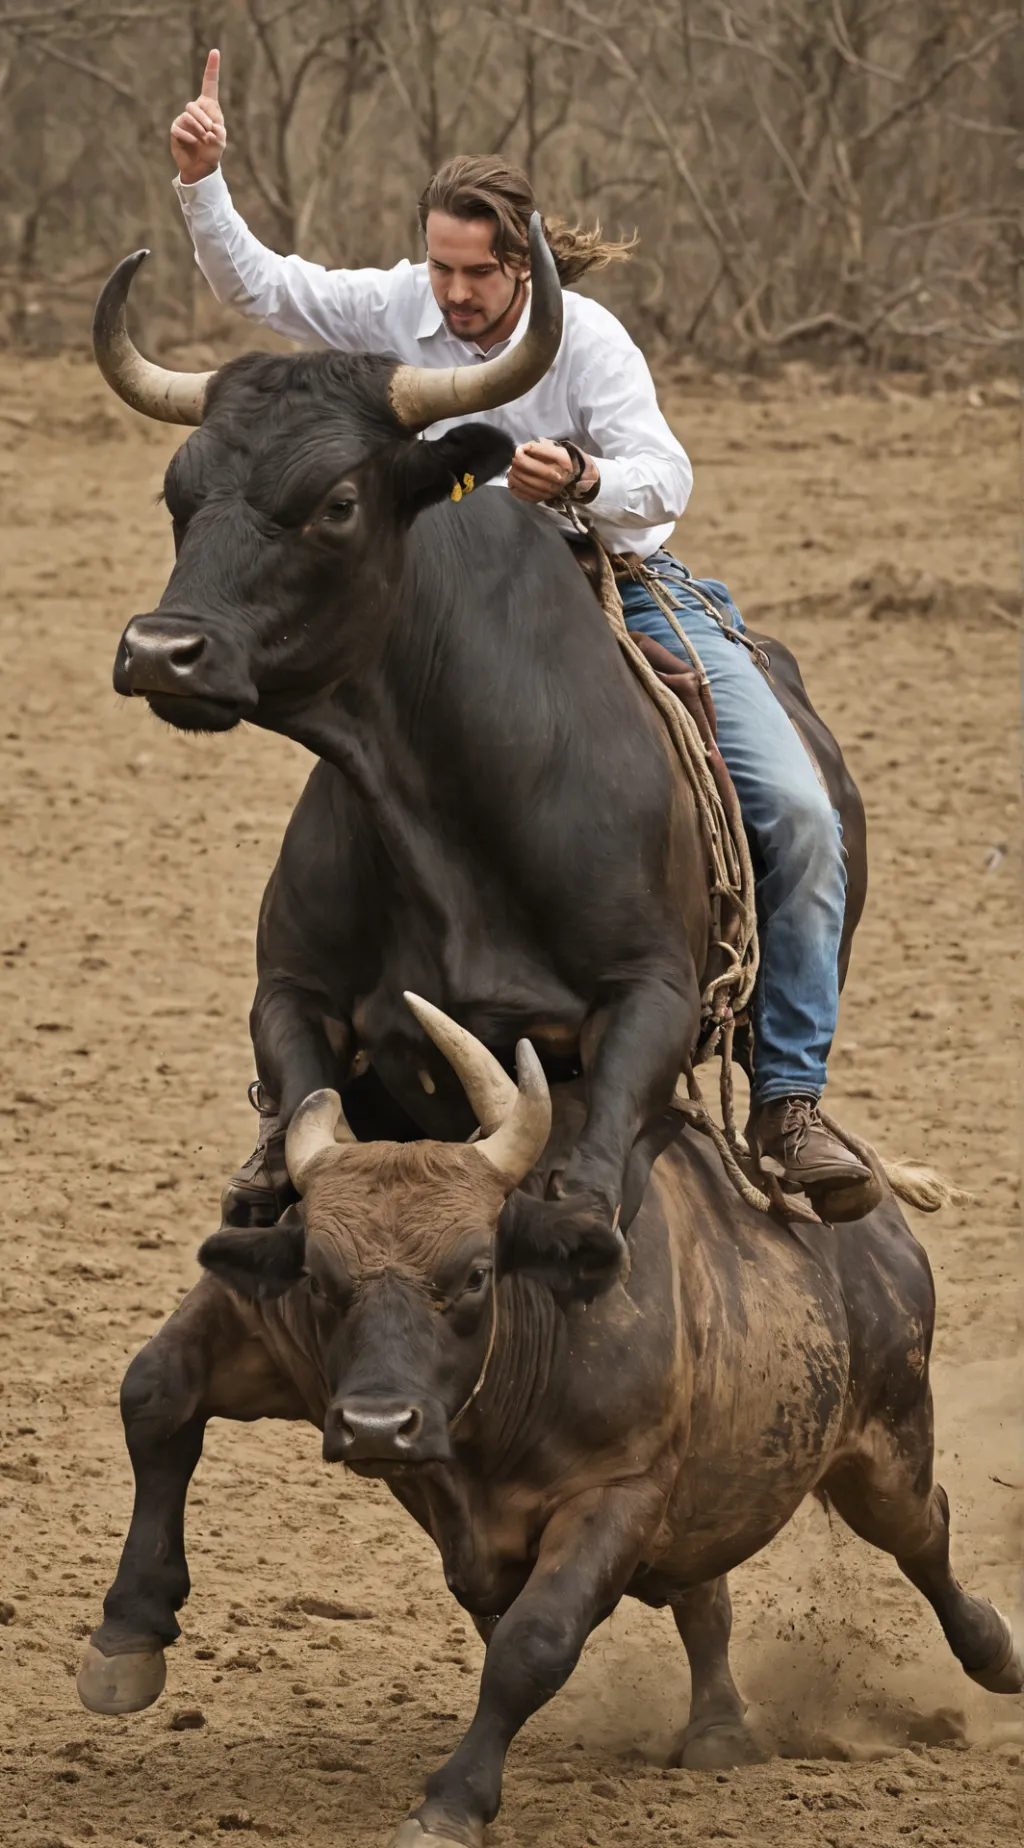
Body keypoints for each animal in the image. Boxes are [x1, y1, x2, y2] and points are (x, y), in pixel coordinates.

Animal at [77, 997, 1023, 1848]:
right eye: (317, 1276)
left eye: (474, 1272)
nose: (379, 1426)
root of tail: (876, 1224)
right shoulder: (273, 1343)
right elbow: (155, 1395)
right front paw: (127, 1636)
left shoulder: (619, 1491)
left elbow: (533, 1643)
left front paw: (452, 1804)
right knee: (707, 1595)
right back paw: (719, 1728)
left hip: (885, 1445)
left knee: (924, 1532)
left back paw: (993, 1652)